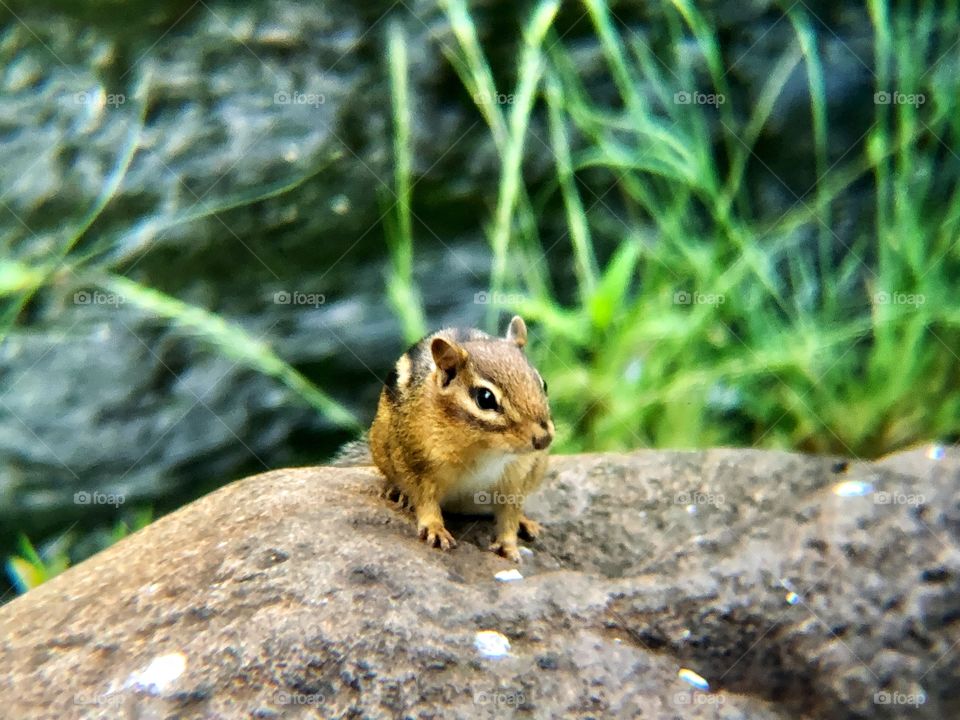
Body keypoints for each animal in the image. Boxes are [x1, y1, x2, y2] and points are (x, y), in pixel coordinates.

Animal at [337, 315, 553, 562]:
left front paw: (509, 544)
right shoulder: (418, 462)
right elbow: (425, 501)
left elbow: (510, 513)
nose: (544, 439)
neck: (485, 449)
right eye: (485, 398)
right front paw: (435, 528)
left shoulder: (517, 476)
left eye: (543, 384)